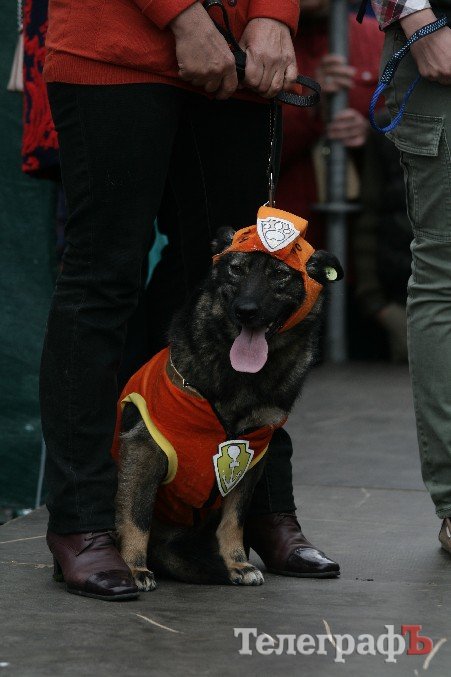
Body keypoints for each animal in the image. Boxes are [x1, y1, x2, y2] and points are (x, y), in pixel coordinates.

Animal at [113, 206, 343, 591]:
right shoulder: (144, 450)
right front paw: (132, 569)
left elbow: (234, 519)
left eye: (280, 275)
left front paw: (236, 562)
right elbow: (136, 517)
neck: (240, 378)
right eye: (236, 269)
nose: (246, 310)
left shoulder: (252, 455)